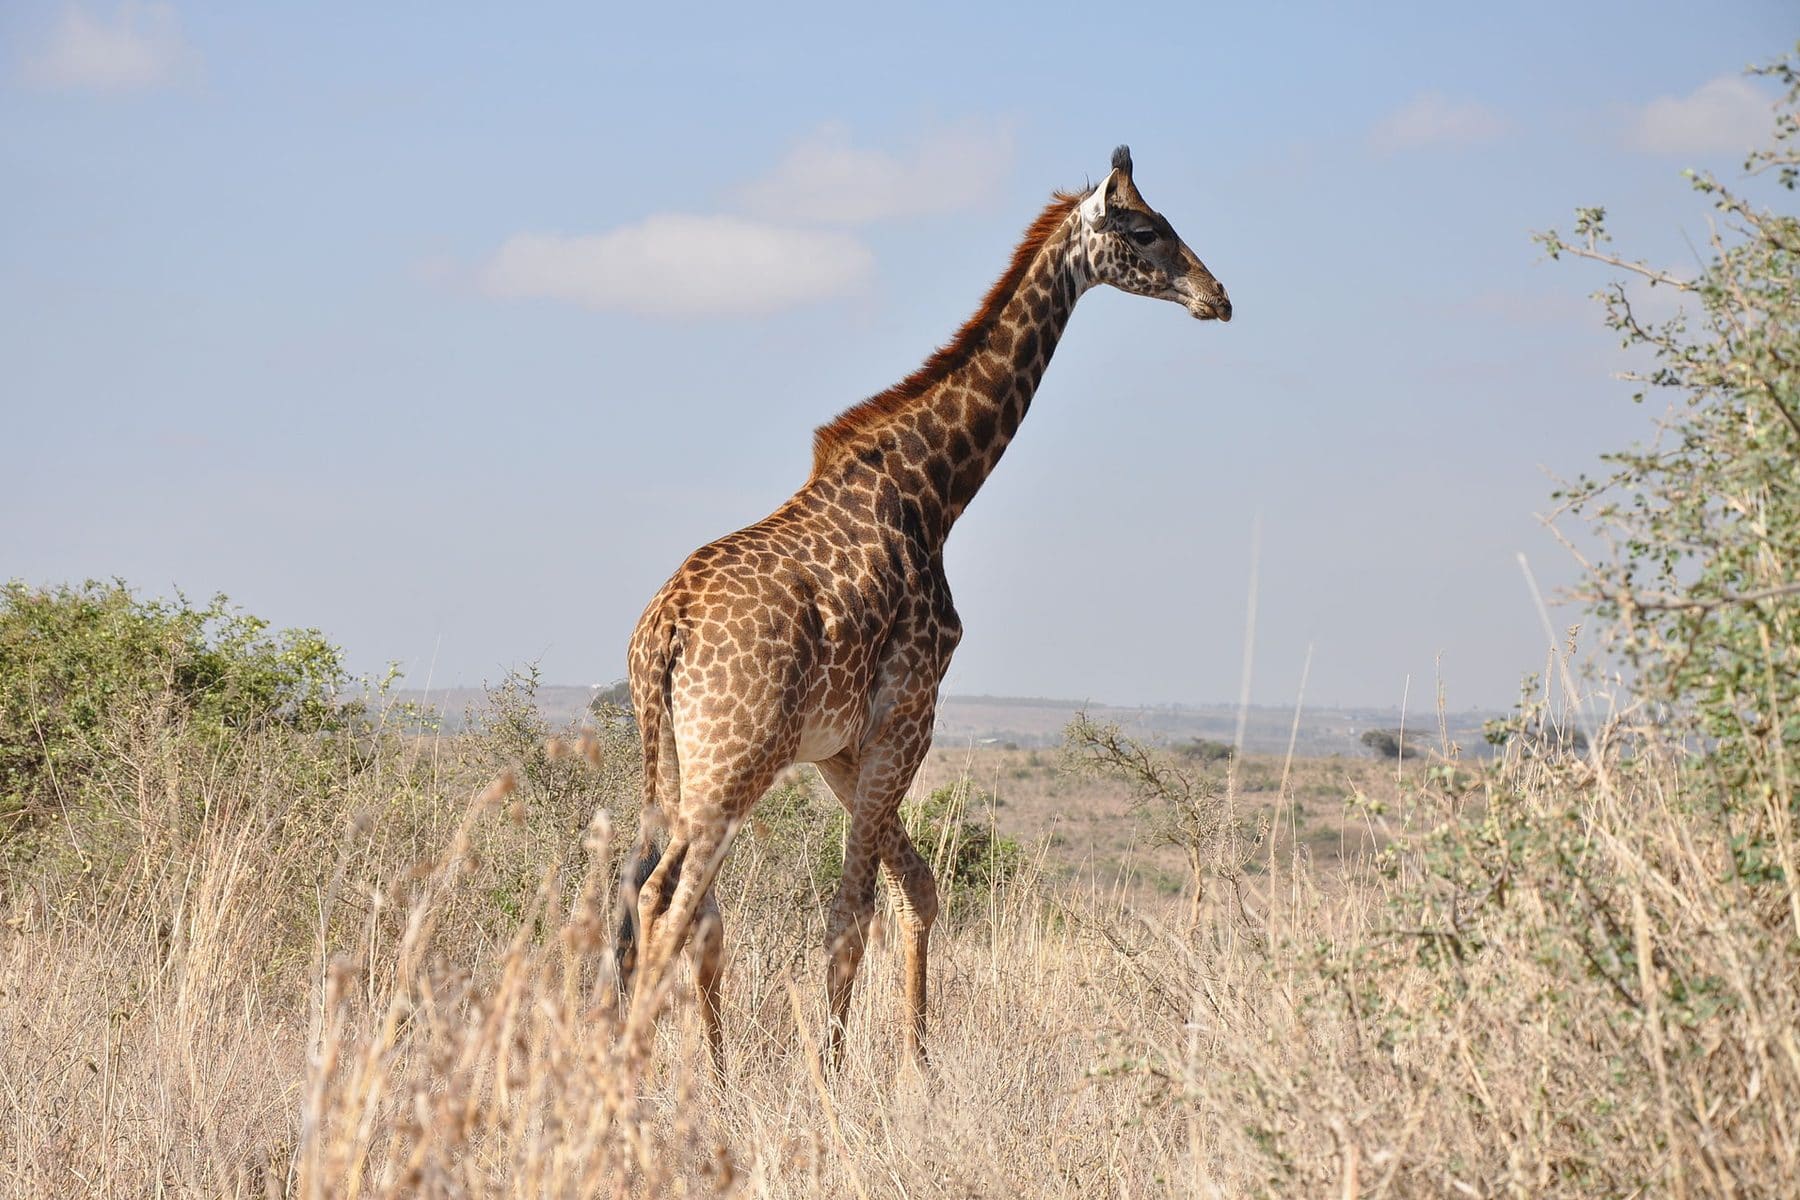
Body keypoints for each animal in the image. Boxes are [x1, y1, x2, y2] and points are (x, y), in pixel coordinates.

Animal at [617, 145, 1230, 1068]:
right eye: (1147, 229)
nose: (1217, 295)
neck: (935, 492)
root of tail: (665, 631)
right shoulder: (908, 713)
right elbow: (853, 913)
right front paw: (840, 1078)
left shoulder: (842, 745)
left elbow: (916, 888)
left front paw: (916, 1066)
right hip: (733, 761)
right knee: (668, 900)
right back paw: (632, 1075)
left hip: (683, 759)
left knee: (681, 905)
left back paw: (698, 1077)